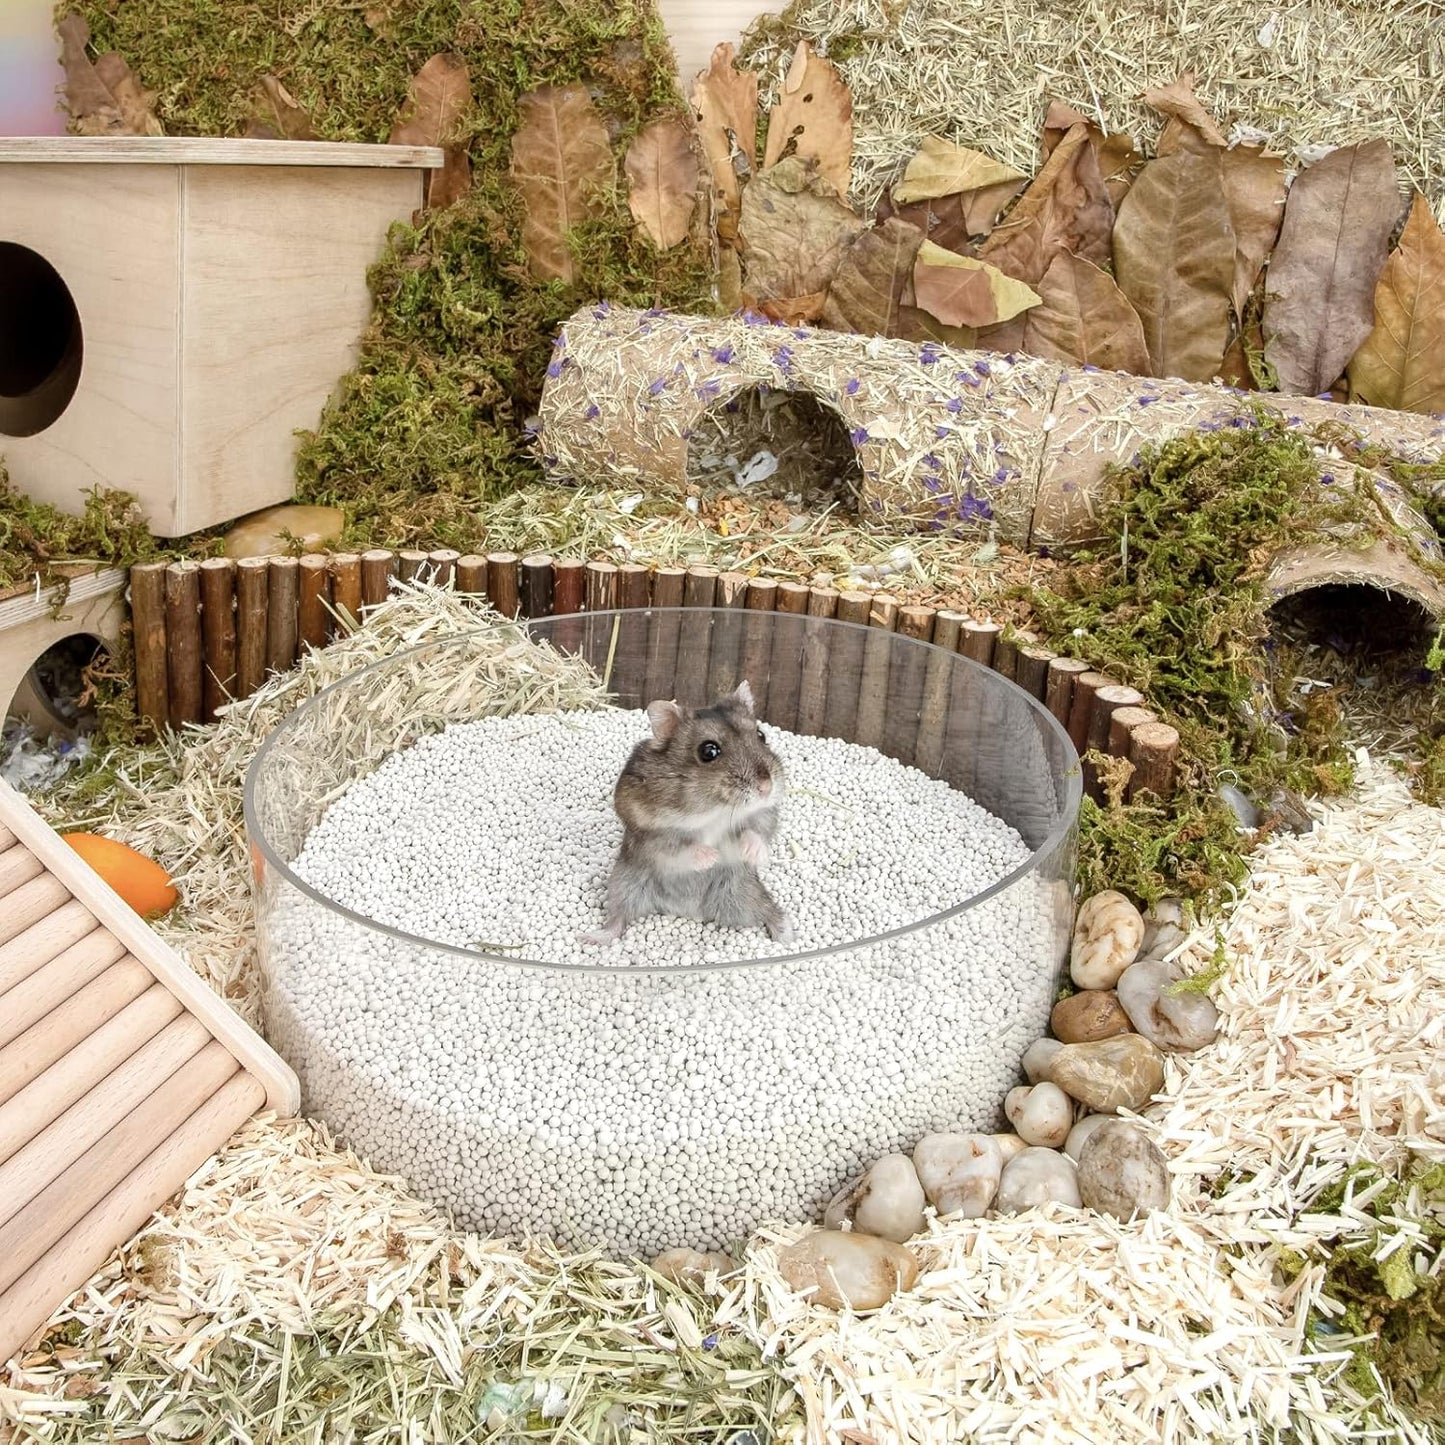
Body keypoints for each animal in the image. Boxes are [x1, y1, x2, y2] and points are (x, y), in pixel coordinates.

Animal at [583, 679, 794, 946]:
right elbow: (680, 848)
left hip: (746, 892)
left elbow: (757, 832)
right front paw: (712, 856)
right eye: (709, 751)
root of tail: (691, 910)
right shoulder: (651, 833)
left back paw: (787, 936)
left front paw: (754, 854)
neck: (717, 809)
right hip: (624, 885)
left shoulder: (764, 815)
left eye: (761, 735)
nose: (766, 788)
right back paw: (590, 937)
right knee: (617, 919)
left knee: (769, 911)